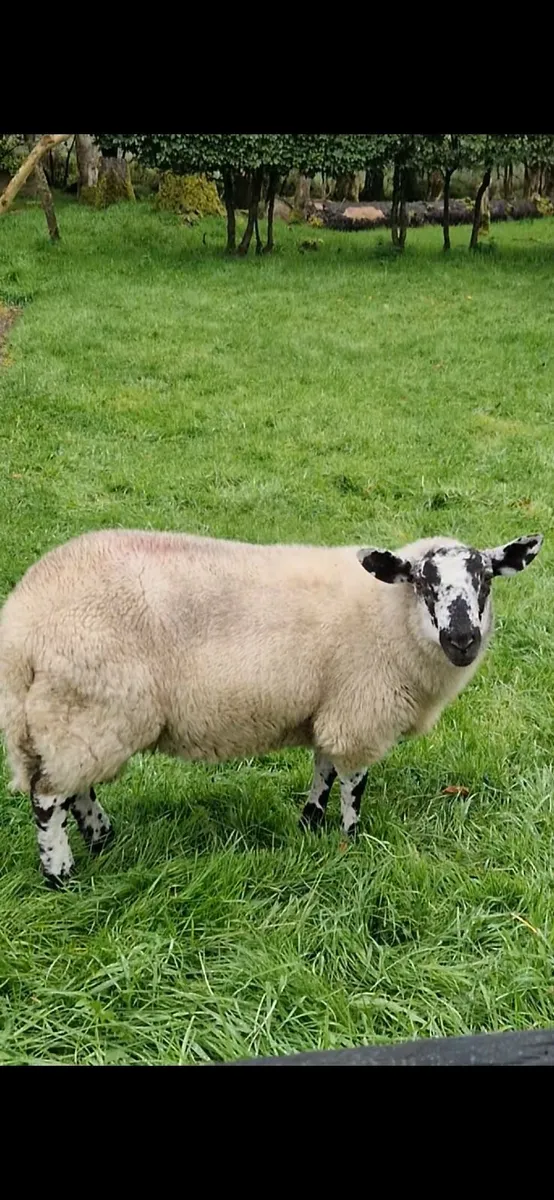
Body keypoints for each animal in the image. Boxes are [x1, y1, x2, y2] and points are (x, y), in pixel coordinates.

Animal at [0, 527, 543, 884]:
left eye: (486, 580)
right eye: (424, 582)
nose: (463, 639)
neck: (389, 616)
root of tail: (21, 620)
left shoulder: (331, 706)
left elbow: (323, 768)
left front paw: (310, 823)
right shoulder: (360, 713)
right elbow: (353, 784)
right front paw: (352, 840)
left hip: (73, 718)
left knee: (75, 788)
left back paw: (103, 839)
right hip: (88, 708)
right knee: (48, 798)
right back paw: (62, 873)